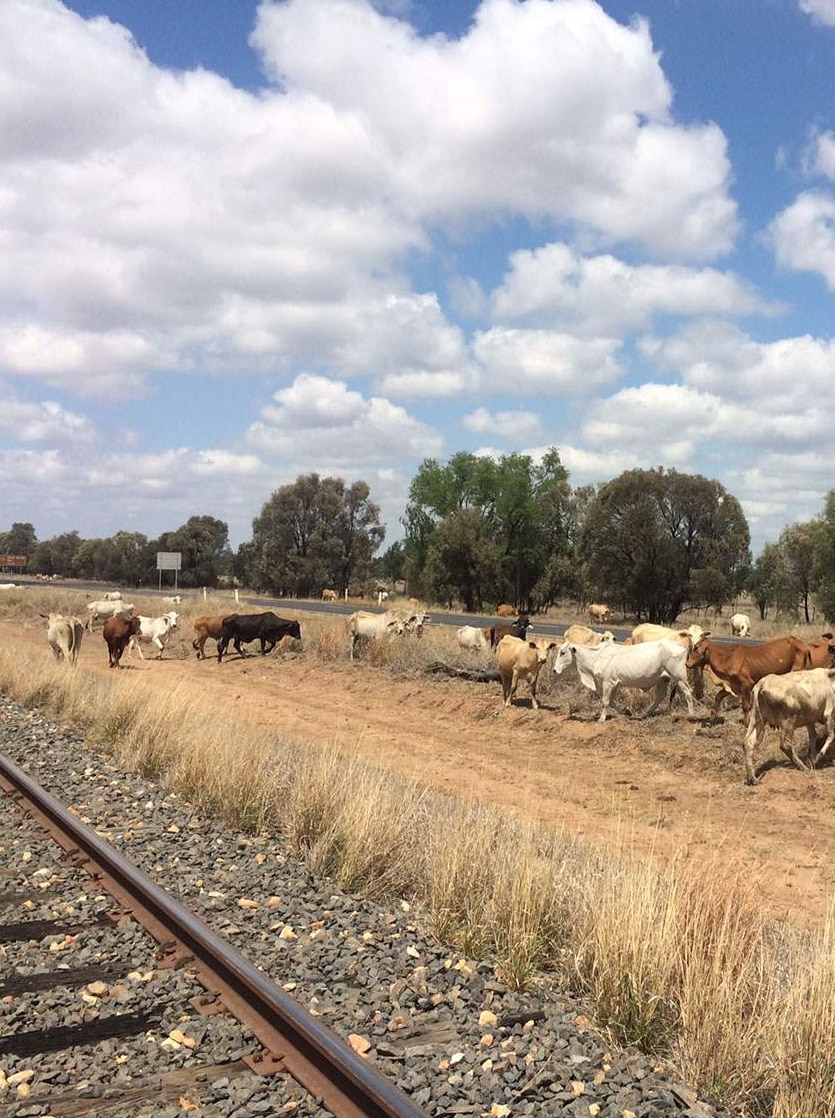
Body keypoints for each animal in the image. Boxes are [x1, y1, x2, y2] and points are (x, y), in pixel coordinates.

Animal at [554, 643, 697, 719]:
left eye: (563, 652)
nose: (555, 670)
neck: (597, 657)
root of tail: (682, 647)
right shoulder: (613, 683)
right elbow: (611, 701)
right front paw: (625, 711)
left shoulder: (608, 683)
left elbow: (605, 701)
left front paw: (601, 718)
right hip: (663, 679)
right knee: (661, 696)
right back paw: (646, 714)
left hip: (679, 677)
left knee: (688, 692)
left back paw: (691, 715)